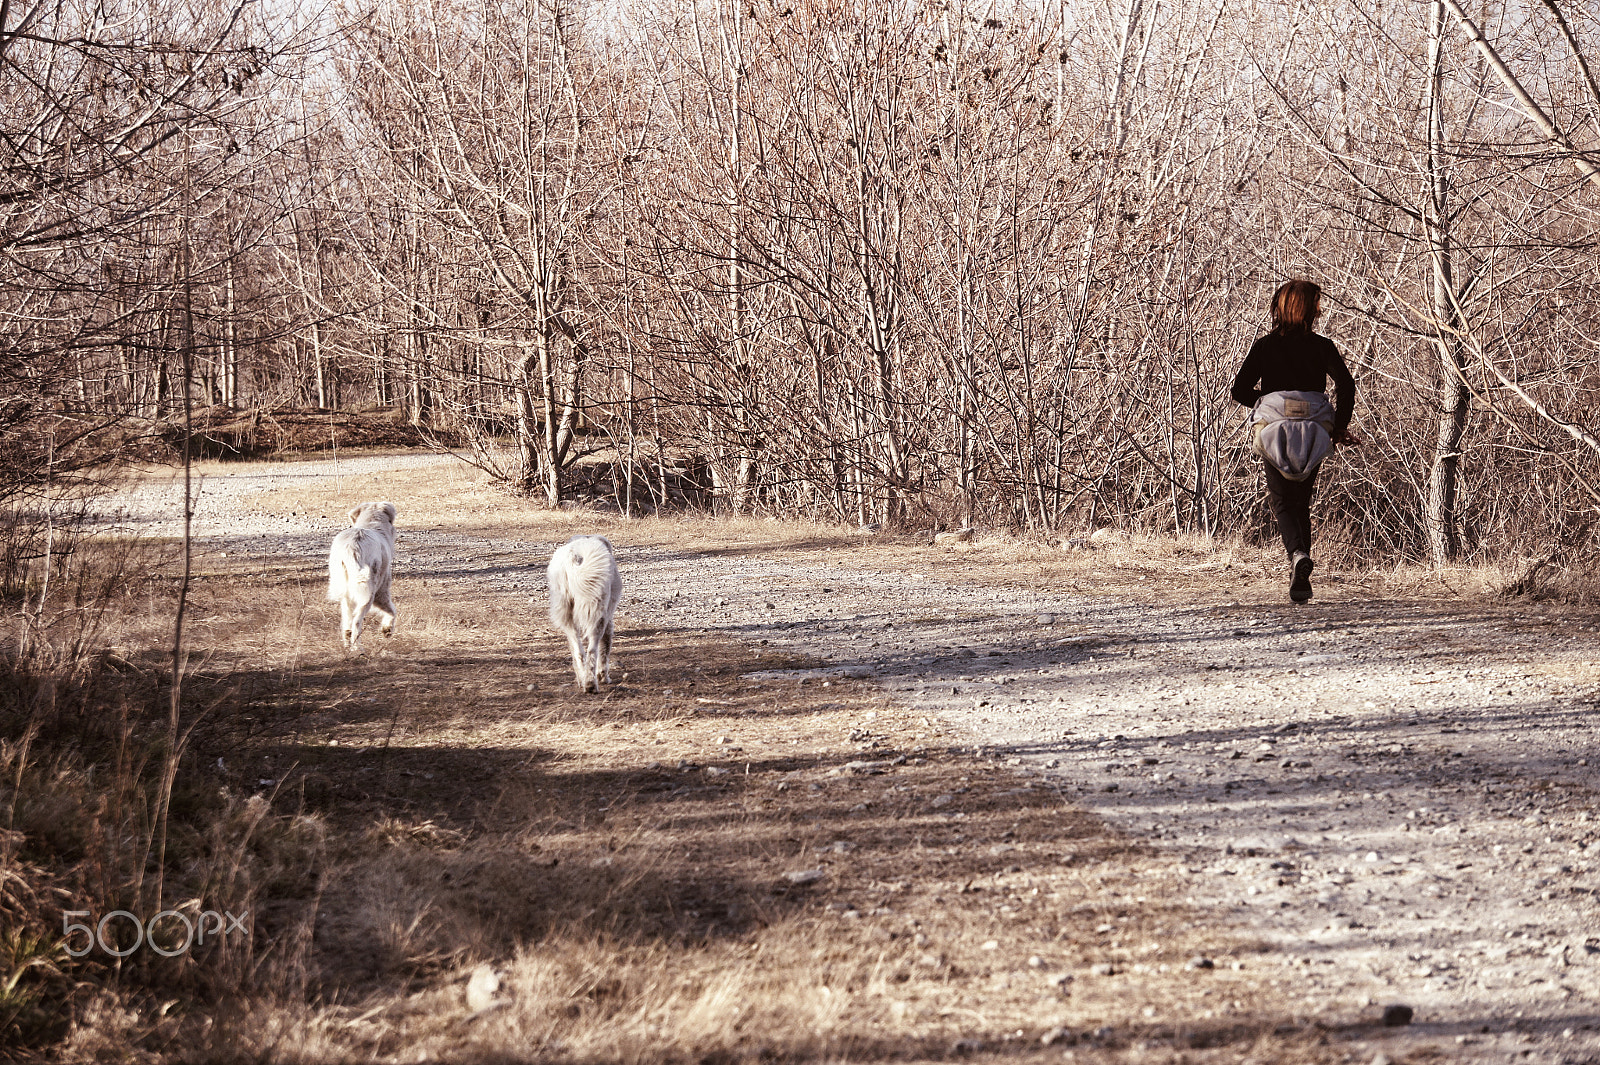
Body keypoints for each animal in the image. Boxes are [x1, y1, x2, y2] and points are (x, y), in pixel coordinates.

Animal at [326, 502, 398, 652]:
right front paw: (387, 630)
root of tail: (353, 545)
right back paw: (358, 648)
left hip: (345, 588)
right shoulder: (381, 591)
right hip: (368, 593)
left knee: (348, 620)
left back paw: (348, 642)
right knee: (356, 622)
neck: (371, 523)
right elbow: (393, 610)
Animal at [544, 534, 617, 694]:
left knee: (578, 651)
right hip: (598, 616)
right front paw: (604, 677)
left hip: (567, 614)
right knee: (592, 650)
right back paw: (590, 683)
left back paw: (582, 678)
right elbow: (605, 649)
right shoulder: (608, 620)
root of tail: (574, 556)